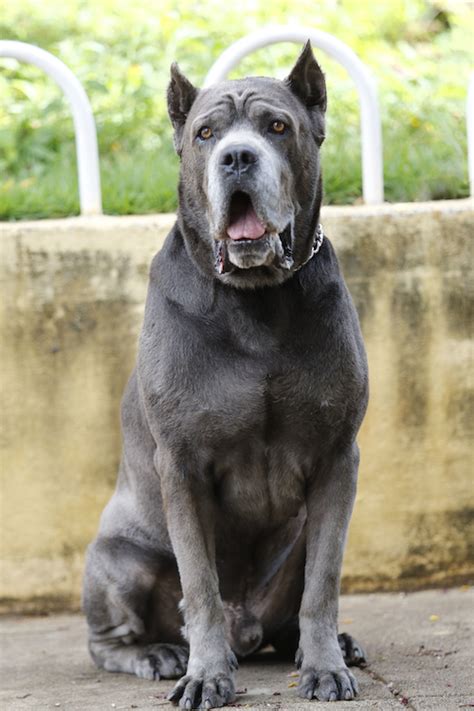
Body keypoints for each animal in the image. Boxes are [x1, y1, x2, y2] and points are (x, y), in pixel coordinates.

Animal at [83, 41, 368, 708]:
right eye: (206, 134)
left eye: (278, 127)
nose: (238, 156)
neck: (256, 300)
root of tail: (250, 631)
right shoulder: (182, 466)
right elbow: (201, 587)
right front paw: (206, 674)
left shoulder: (338, 458)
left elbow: (324, 582)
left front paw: (324, 666)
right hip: (117, 559)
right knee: (109, 640)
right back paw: (159, 655)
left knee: (293, 609)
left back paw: (323, 646)